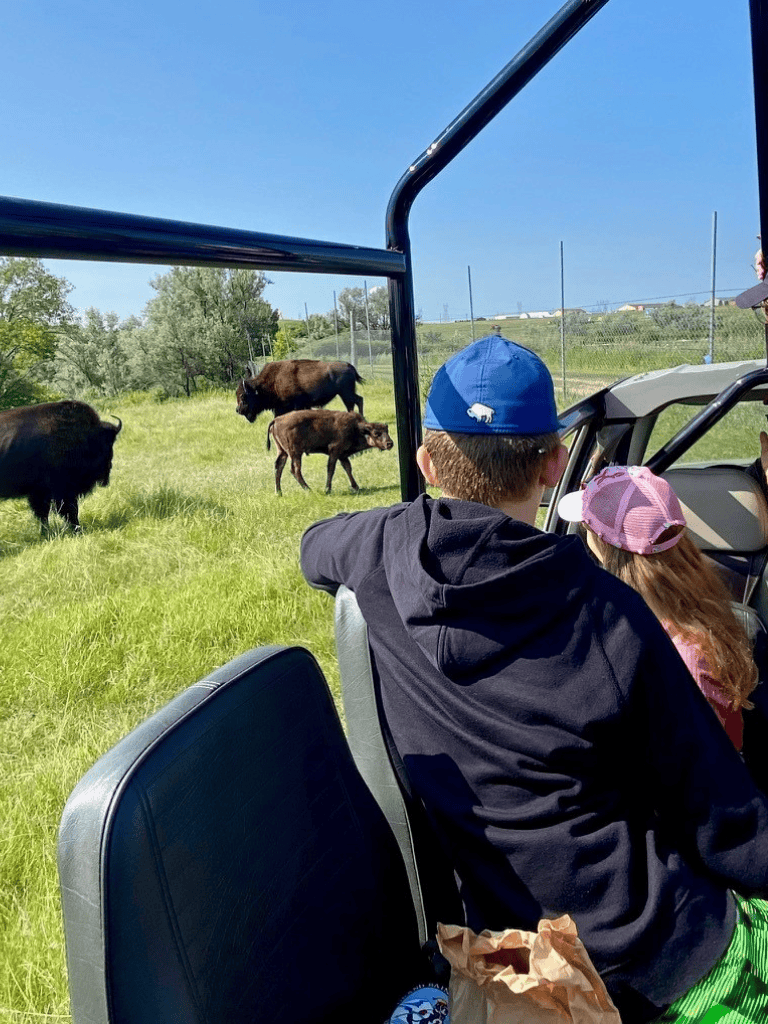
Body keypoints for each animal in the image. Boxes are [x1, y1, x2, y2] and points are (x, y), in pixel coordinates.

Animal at [0, 400, 122, 531]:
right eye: (107, 443)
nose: (108, 468)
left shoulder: (41, 492)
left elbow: (44, 513)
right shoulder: (60, 490)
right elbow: (68, 511)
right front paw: (77, 530)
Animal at [236, 359, 364, 424]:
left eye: (243, 396)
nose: (238, 410)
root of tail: (349, 365)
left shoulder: (296, 405)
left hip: (346, 393)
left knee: (358, 400)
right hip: (345, 394)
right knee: (352, 404)